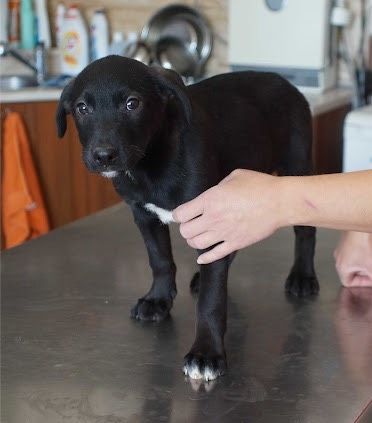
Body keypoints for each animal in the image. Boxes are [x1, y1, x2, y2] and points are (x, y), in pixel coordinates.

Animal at [56, 54, 318, 382]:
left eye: (132, 104)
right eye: (82, 108)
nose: (103, 156)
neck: (150, 162)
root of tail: (284, 81)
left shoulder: (210, 214)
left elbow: (211, 299)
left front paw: (206, 353)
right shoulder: (144, 214)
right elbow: (160, 261)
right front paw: (157, 300)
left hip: (297, 166)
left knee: (305, 230)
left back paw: (302, 277)